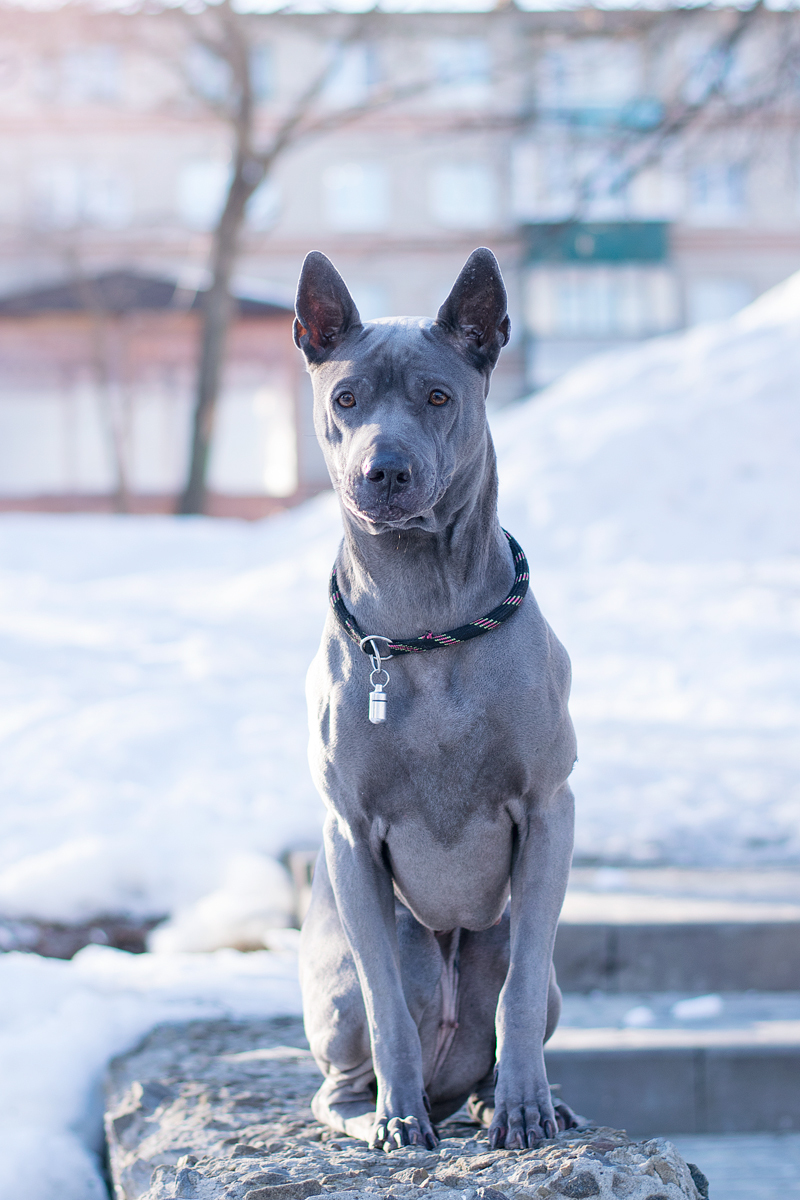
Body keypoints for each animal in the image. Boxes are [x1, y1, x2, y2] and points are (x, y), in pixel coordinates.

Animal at [297, 248, 578, 1156]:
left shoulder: (549, 811)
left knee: (508, 996)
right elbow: (387, 1004)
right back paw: (380, 1113)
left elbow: (517, 995)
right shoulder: (349, 837)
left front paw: (526, 1106)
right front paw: (396, 1117)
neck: (425, 618)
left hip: (518, 949)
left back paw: (510, 1099)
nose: (382, 471)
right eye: (346, 399)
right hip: (361, 973)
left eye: (438, 396)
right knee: (349, 1071)